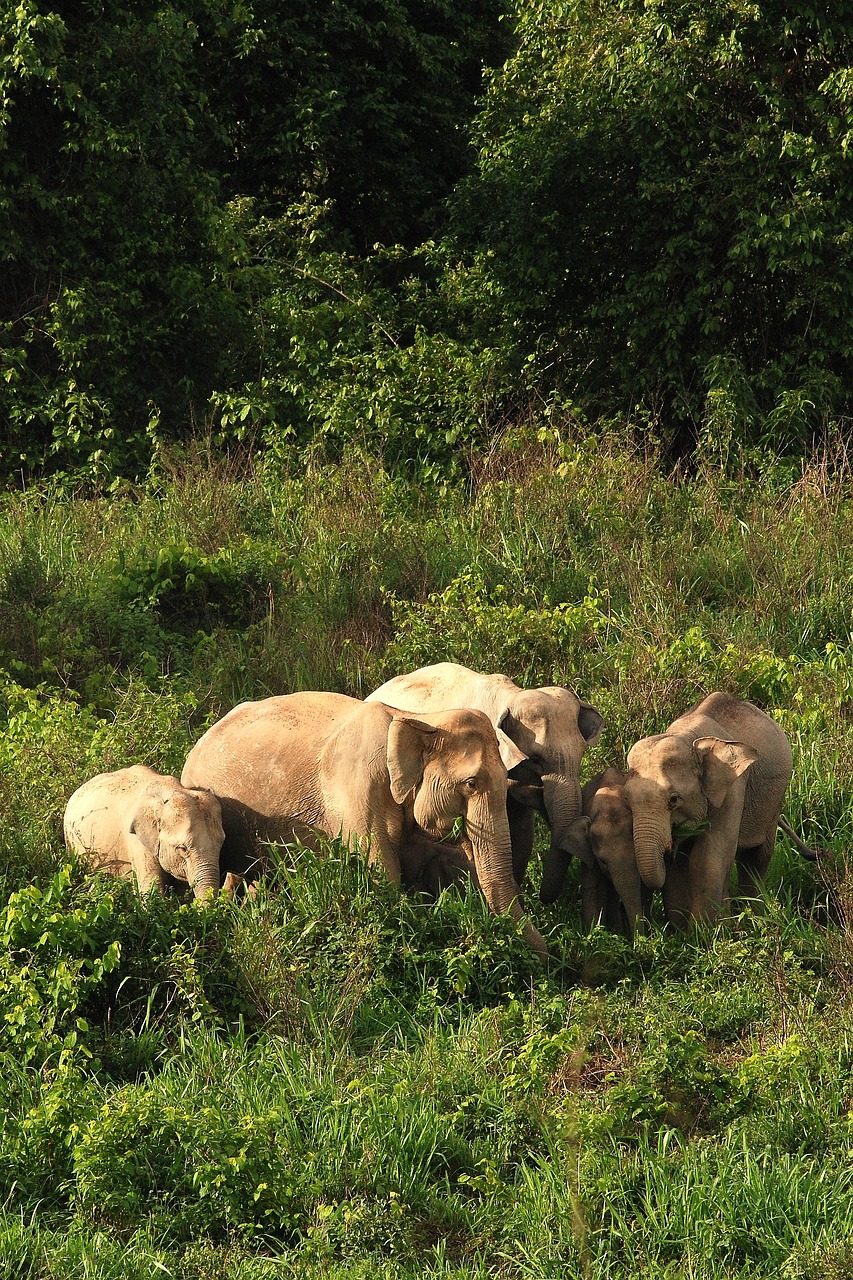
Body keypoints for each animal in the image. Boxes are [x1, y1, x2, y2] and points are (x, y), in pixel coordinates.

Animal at [617, 696, 788, 926]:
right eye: (627, 800)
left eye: (673, 799)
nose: (668, 847)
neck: (687, 738)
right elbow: (679, 865)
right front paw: (680, 930)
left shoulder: (733, 790)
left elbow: (707, 858)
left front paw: (703, 931)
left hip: (773, 803)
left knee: (756, 859)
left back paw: (755, 919)